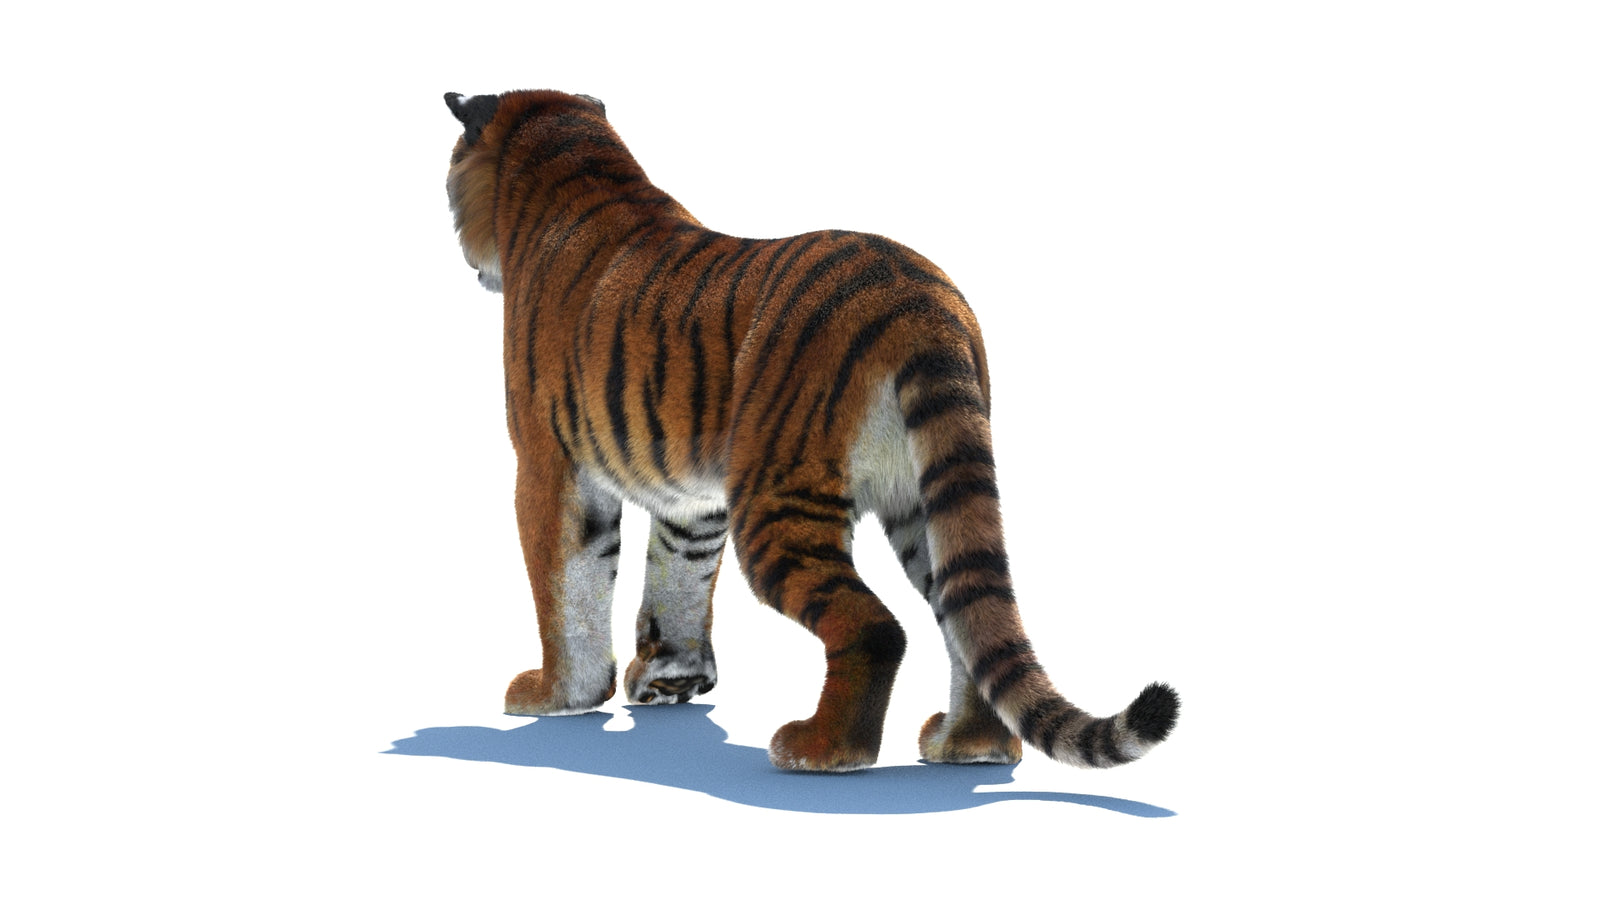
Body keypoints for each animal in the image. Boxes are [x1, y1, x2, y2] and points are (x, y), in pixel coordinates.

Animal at [442, 88, 1179, 772]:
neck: (576, 168)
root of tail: (919, 299)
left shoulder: (548, 465)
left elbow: (566, 588)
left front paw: (555, 694)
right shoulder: (693, 503)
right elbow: (677, 584)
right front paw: (668, 682)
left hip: (779, 499)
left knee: (877, 628)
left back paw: (822, 750)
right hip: (931, 496)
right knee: (967, 618)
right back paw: (968, 745)